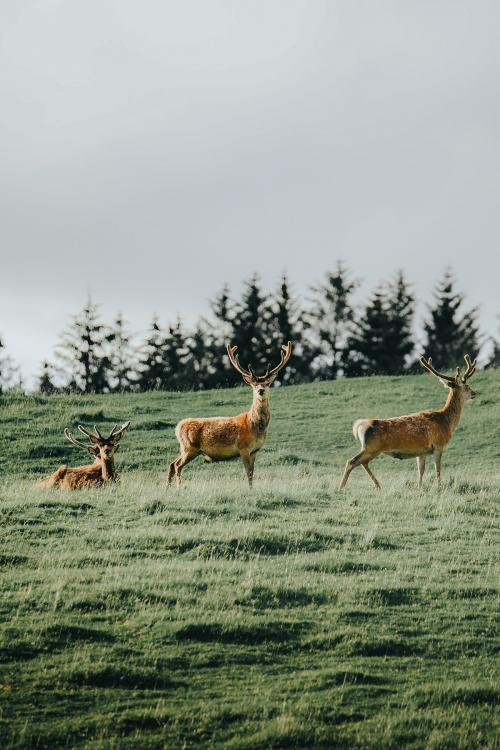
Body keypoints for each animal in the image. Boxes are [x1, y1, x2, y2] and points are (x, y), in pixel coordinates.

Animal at [169, 340, 292, 488]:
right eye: (254, 385)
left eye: (267, 383)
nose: (261, 390)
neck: (254, 426)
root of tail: (178, 427)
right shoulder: (243, 448)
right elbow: (248, 473)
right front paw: (250, 490)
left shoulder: (254, 451)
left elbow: (252, 472)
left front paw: (252, 488)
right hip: (189, 448)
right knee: (177, 465)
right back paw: (179, 486)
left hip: (186, 449)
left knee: (171, 463)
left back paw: (167, 487)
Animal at [340, 354, 476, 490]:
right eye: (467, 386)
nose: (474, 393)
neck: (446, 422)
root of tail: (360, 425)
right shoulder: (439, 444)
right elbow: (438, 469)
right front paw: (439, 487)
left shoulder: (422, 451)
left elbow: (421, 471)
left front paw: (420, 487)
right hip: (372, 447)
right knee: (351, 461)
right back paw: (342, 487)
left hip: (369, 448)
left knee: (362, 463)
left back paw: (377, 485)